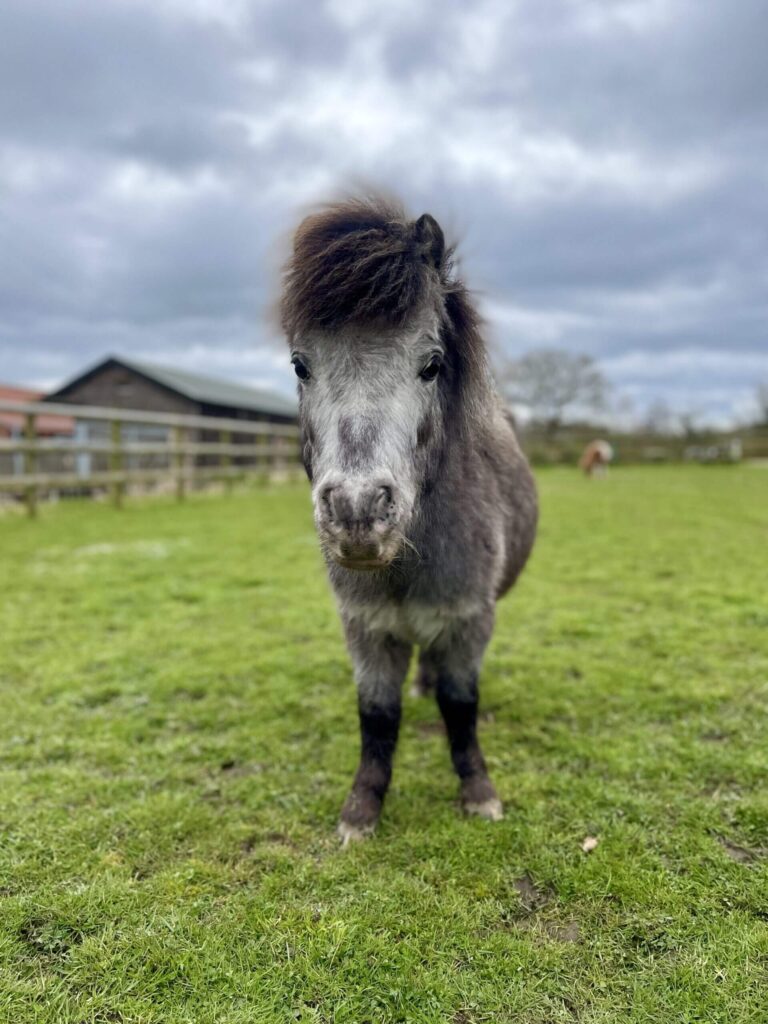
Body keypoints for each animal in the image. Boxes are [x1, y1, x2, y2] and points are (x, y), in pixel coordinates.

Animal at [280, 196, 538, 843]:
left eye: (432, 364)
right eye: (300, 365)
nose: (357, 511)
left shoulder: (469, 622)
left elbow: (460, 706)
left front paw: (478, 793)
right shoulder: (365, 628)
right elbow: (377, 716)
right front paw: (361, 810)